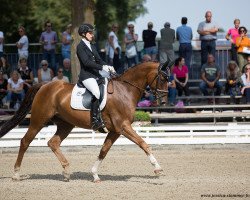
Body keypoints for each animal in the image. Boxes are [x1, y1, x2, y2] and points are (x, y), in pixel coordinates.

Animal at [0, 61, 168, 182]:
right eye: (162, 78)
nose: (164, 101)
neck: (125, 90)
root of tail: (45, 85)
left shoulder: (115, 130)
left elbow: (103, 150)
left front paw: (95, 175)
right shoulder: (123, 126)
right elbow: (143, 143)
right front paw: (158, 168)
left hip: (65, 124)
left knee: (53, 143)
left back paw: (66, 172)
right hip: (38, 120)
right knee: (25, 142)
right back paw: (16, 174)